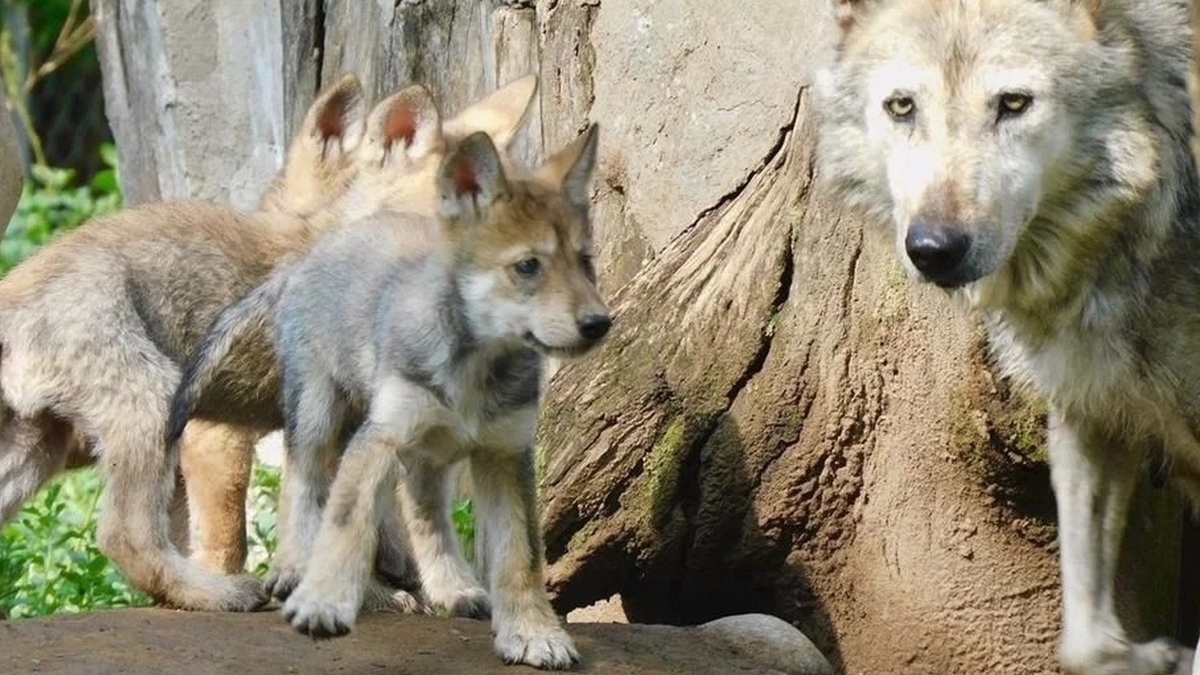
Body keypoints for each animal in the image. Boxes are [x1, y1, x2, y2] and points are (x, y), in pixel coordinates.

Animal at [176, 126, 604, 668]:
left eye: (585, 262)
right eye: (528, 266)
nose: (599, 323)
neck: (473, 364)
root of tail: (313, 251)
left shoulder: (505, 452)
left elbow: (520, 555)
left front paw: (533, 633)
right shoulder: (380, 437)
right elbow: (345, 522)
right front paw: (323, 602)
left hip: (428, 453)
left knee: (424, 514)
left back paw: (453, 588)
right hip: (319, 411)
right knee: (303, 481)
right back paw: (292, 569)